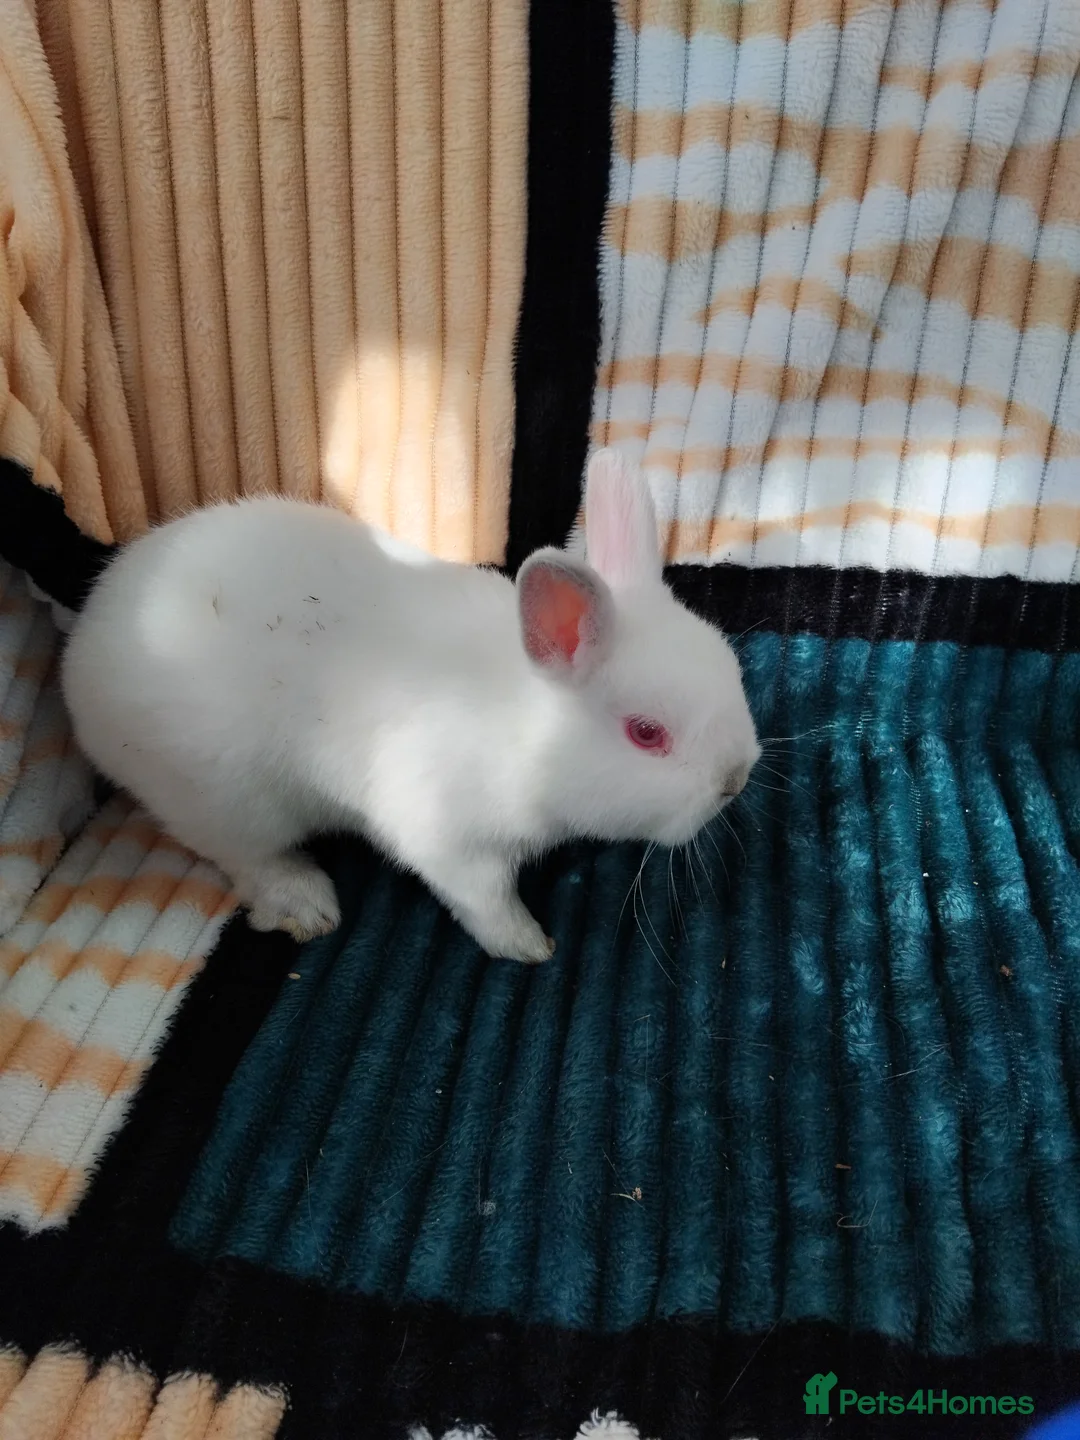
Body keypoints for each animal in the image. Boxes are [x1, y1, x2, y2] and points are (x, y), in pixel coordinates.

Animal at [61, 448, 760, 963]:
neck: (527, 734)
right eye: (646, 733)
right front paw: (530, 945)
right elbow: (485, 900)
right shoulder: (449, 841)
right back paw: (306, 904)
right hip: (229, 799)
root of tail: (82, 652)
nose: (735, 779)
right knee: (248, 856)